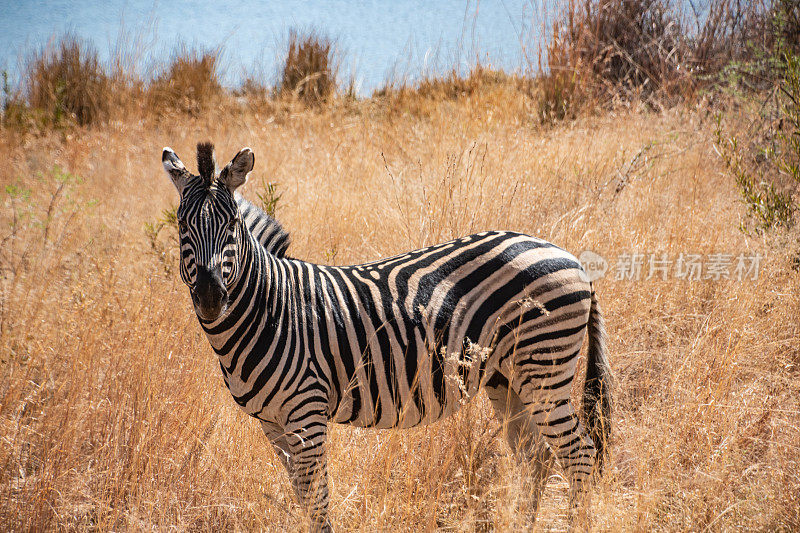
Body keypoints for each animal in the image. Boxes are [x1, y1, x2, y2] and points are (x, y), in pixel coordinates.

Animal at [161, 140, 612, 528]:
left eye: (232, 224)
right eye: (182, 224)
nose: (210, 297)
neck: (270, 306)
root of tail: (570, 257)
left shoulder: (307, 410)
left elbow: (317, 499)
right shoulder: (272, 422)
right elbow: (303, 498)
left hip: (544, 368)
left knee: (579, 456)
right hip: (509, 377)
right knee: (537, 459)